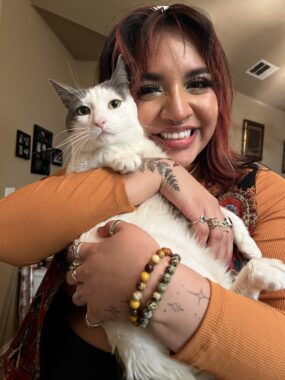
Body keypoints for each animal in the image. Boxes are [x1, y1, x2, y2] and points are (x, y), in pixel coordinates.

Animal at [50, 56, 284, 380]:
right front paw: (123, 158)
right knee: (231, 299)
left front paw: (247, 243)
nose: (100, 122)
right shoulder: (79, 170)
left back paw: (260, 265)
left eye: (113, 104)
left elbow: (222, 210)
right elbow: (101, 154)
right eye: (84, 111)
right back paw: (267, 272)